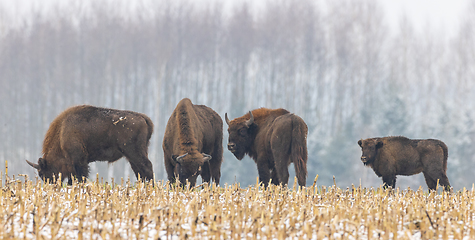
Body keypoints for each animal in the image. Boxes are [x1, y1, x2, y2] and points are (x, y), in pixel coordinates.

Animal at [26, 104, 154, 185]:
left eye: (43, 173)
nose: (52, 186)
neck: (62, 132)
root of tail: (143, 117)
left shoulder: (79, 161)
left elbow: (79, 177)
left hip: (134, 152)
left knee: (146, 167)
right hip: (134, 155)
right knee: (139, 171)